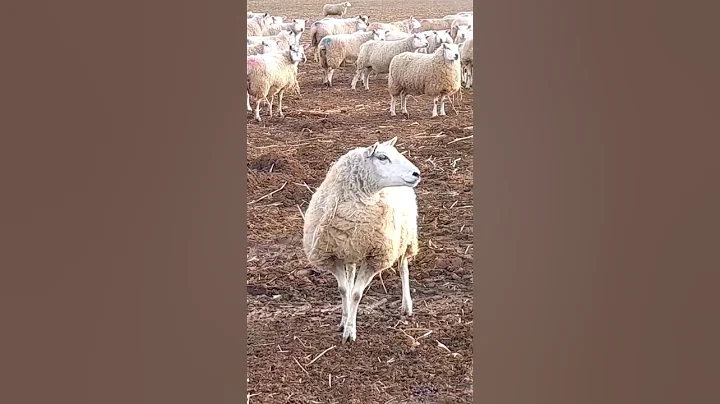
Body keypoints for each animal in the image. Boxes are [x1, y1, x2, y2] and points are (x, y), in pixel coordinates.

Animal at [302, 137, 421, 343]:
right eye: (382, 157)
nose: (417, 173)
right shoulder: (333, 255)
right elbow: (343, 289)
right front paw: (344, 321)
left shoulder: (375, 258)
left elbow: (357, 294)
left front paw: (350, 331)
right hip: (351, 251)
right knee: (350, 275)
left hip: (405, 236)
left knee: (403, 268)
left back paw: (407, 306)